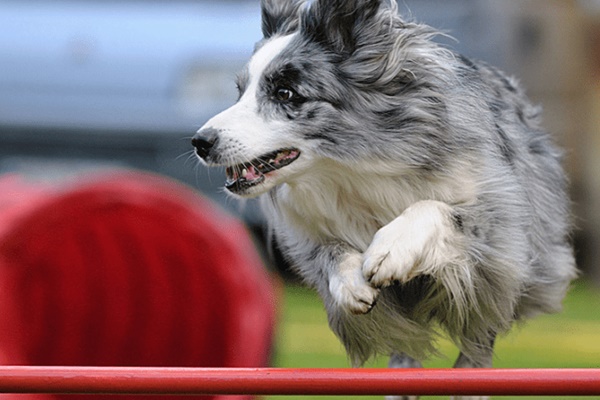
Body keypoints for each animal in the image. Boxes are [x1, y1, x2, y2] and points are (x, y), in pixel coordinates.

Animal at [192, 0, 576, 396]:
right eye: (240, 91)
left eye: (285, 93)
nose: (201, 141)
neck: (353, 168)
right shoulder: (306, 232)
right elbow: (329, 251)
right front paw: (350, 284)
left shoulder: (499, 224)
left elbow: (436, 209)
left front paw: (391, 250)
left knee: (480, 332)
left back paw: (470, 378)